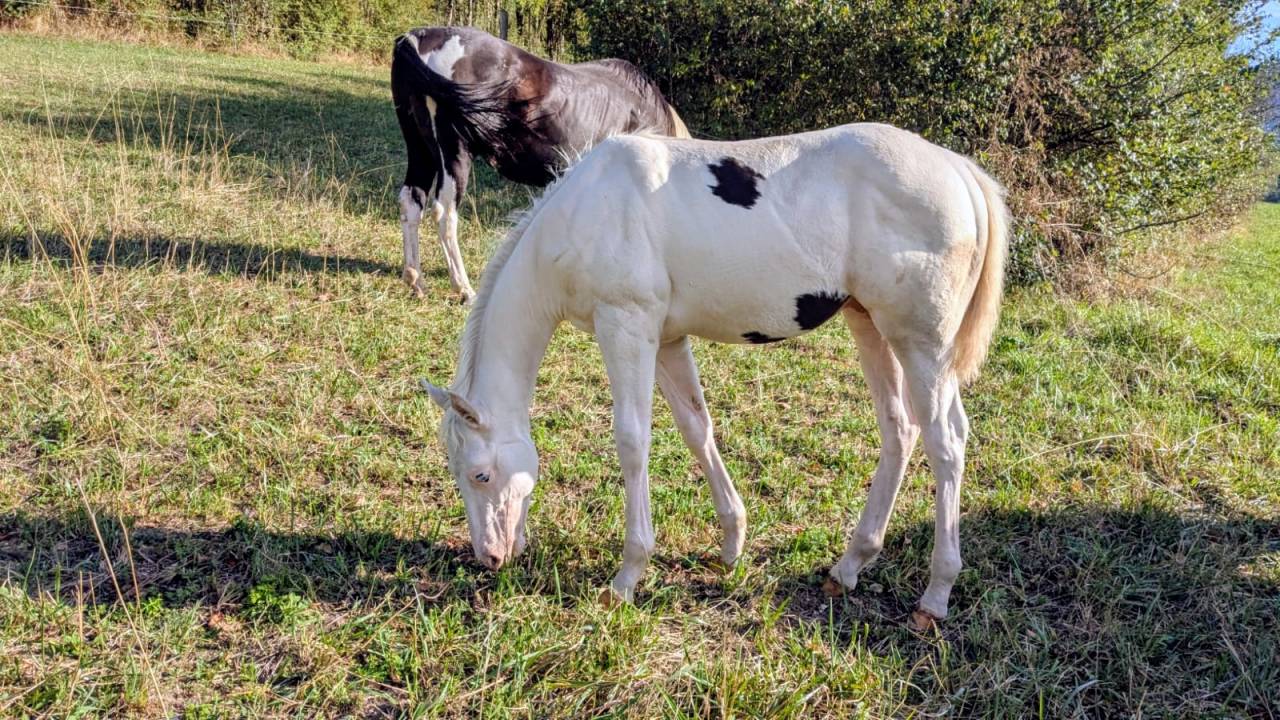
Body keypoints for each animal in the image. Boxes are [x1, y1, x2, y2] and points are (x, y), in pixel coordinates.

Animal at [391, 27, 691, 303]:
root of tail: (419, 37)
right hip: (454, 154)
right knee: (444, 214)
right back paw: (464, 289)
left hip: (420, 149)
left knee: (411, 201)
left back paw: (415, 280)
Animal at [420, 122, 1009, 627]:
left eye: (480, 475)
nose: (490, 556)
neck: (587, 211)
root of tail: (959, 171)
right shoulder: (666, 341)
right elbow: (697, 429)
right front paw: (732, 542)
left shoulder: (626, 327)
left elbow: (632, 441)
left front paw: (628, 574)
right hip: (872, 327)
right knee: (900, 430)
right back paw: (849, 566)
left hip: (921, 346)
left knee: (945, 443)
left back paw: (936, 593)